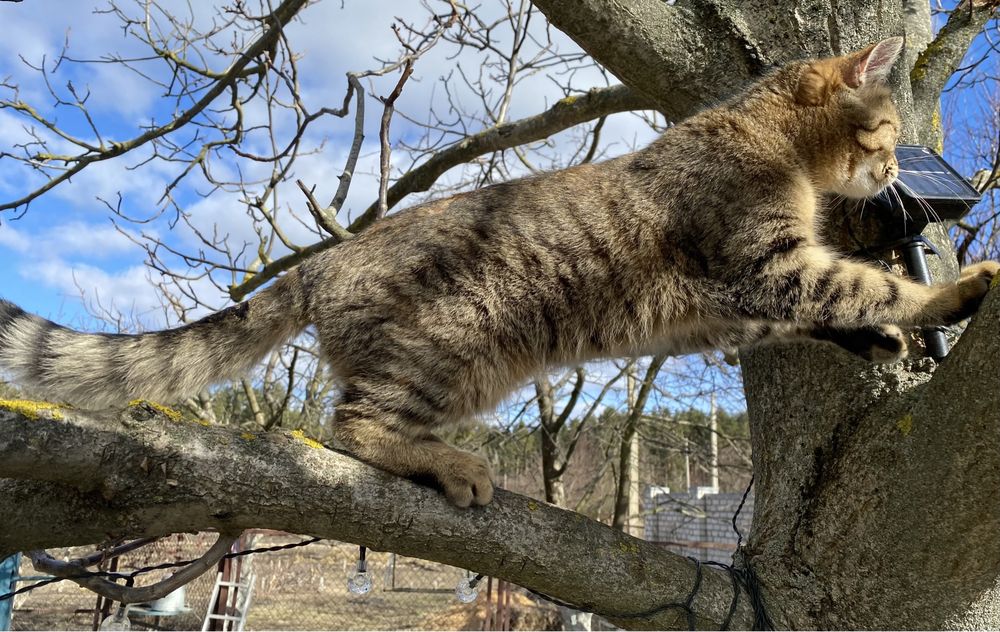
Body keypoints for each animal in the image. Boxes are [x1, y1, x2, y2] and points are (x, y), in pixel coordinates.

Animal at [0, 37, 996, 506]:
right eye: (885, 129)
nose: (899, 169)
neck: (769, 148)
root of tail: (327, 259)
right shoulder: (762, 264)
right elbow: (866, 284)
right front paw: (953, 290)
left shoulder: (740, 304)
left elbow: (834, 309)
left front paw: (884, 338)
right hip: (446, 347)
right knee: (348, 425)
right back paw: (447, 463)